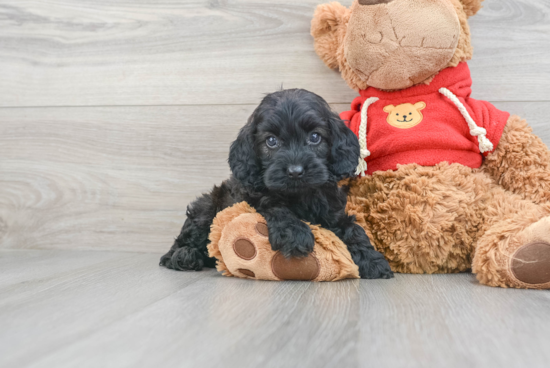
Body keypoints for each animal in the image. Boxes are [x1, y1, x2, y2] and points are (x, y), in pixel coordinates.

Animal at [162, 89, 394, 278]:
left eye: (315, 137)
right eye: (271, 141)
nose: (295, 171)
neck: (300, 195)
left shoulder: (333, 212)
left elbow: (353, 230)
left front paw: (372, 260)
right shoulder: (251, 196)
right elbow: (273, 204)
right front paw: (295, 233)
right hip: (206, 209)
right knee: (185, 237)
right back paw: (183, 256)